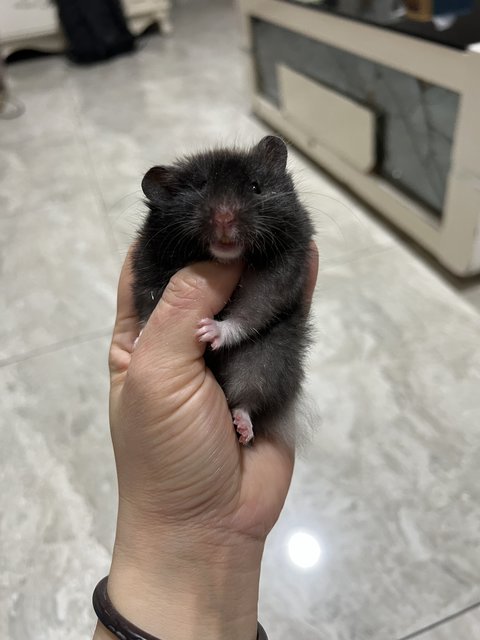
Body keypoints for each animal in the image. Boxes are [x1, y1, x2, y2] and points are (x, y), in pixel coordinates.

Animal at [131, 135, 316, 444]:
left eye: (255, 187)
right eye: (201, 187)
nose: (225, 219)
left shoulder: (282, 275)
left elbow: (252, 312)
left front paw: (208, 332)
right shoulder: (148, 269)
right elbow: (148, 307)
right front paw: (138, 341)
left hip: (271, 360)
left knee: (249, 396)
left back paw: (243, 427)